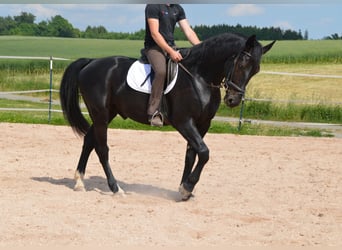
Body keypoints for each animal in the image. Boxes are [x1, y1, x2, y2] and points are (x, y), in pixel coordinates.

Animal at [60, 32, 276, 201]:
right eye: (241, 63)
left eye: (255, 70)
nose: (233, 100)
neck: (199, 77)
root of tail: (90, 63)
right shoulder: (184, 122)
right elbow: (204, 152)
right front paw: (187, 187)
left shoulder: (202, 124)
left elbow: (192, 155)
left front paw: (185, 190)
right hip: (101, 114)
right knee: (102, 148)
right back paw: (115, 188)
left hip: (107, 113)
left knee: (89, 141)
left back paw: (79, 182)